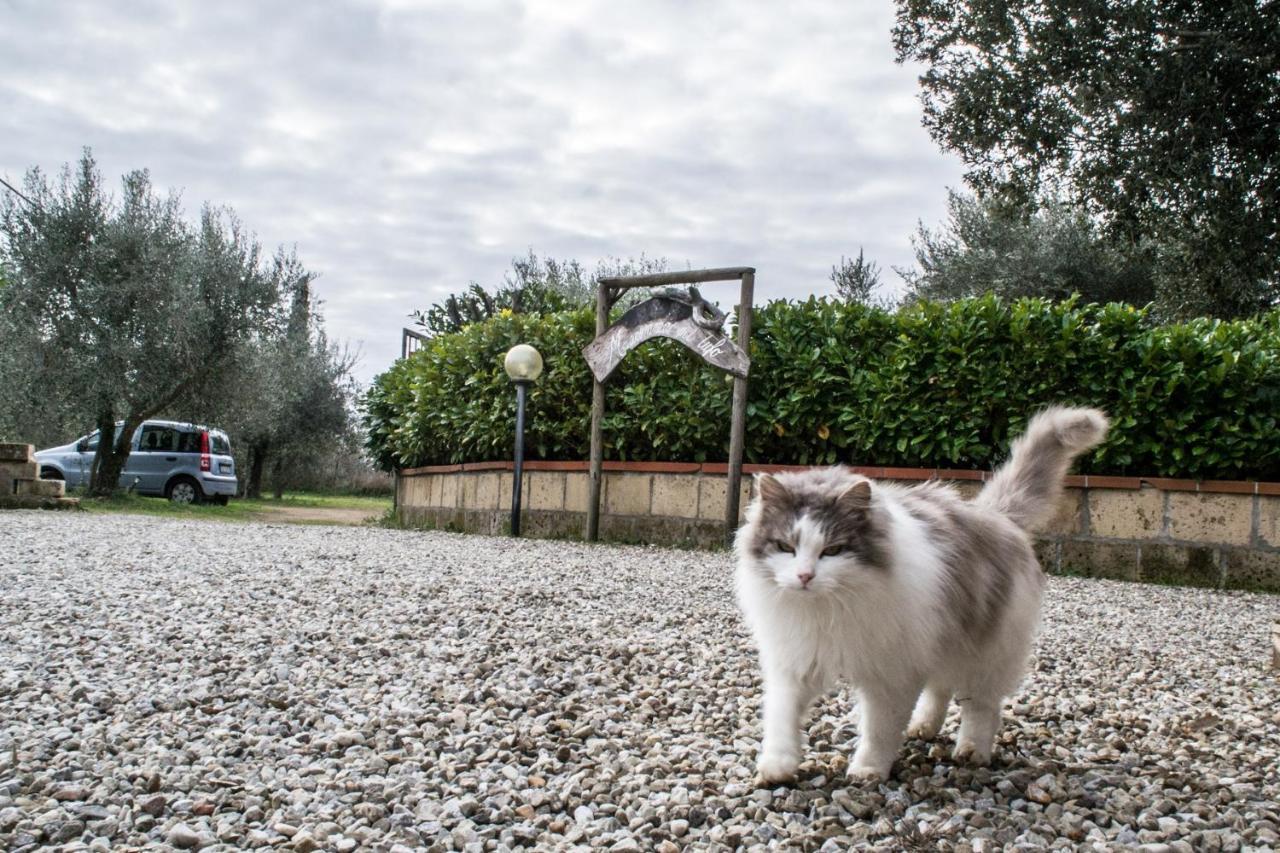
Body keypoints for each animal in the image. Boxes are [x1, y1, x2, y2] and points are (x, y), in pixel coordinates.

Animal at [737, 404, 1105, 783]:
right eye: (786, 546)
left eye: (833, 551)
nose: (805, 576)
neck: (827, 609)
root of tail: (994, 515)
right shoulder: (793, 660)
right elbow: (781, 718)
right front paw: (777, 767)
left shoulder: (891, 673)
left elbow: (879, 729)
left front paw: (867, 770)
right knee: (940, 689)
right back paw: (923, 727)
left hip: (985, 653)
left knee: (982, 706)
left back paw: (972, 752)